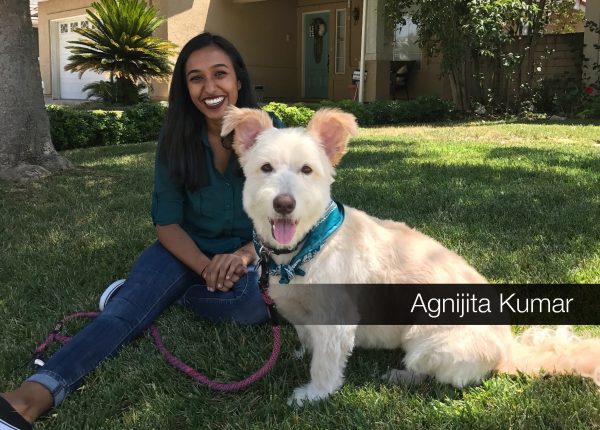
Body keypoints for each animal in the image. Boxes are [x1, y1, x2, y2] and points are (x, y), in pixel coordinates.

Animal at [223, 106, 600, 404]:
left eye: (307, 170)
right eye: (266, 168)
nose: (284, 204)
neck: (308, 249)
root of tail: (508, 348)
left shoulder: (336, 320)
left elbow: (326, 364)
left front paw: (313, 394)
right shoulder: (300, 313)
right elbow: (307, 340)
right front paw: (301, 354)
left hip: (428, 343)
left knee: (434, 376)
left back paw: (400, 376)